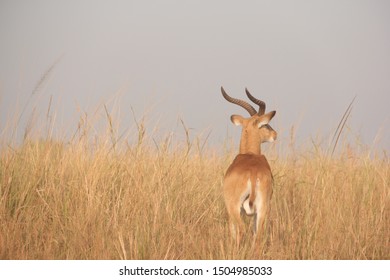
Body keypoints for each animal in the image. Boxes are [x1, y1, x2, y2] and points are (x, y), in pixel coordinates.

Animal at [219, 86, 278, 245]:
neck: (249, 154)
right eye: (265, 125)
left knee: (241, 231)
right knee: (258, 236)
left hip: (235, 208)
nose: (275, 135)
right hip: (263, 209)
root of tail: (252, 173)